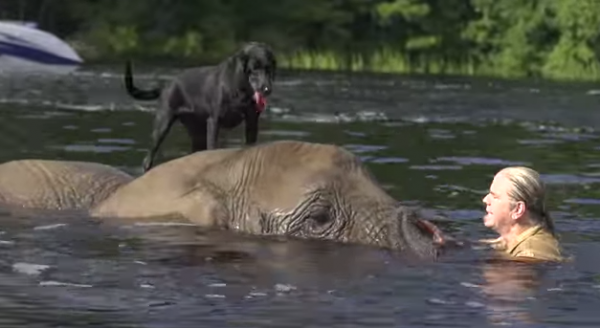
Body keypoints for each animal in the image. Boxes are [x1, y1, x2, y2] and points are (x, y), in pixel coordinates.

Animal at [125, 41, 280, 172]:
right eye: (254, 69)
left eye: (269, 69)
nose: (267, 89)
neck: (240, 90)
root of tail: (165, 87)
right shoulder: (214, 121)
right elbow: (212, 147)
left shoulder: (252, 121)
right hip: (162, 125)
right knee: (148, 159)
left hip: (197, 132)